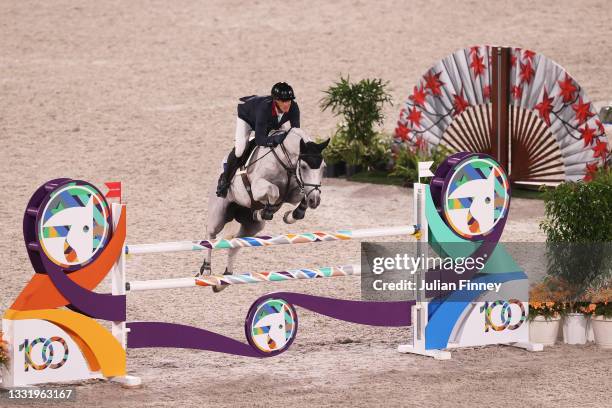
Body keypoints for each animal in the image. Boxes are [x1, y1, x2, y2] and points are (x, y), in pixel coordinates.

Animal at [201, 128, 328, 290]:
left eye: (324, 168)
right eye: (304, 167)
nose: (315, 201)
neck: (285, 161)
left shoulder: (295, 192)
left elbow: (300, 197)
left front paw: (291, 215)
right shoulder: (258, 187)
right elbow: (274, 192)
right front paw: (264, 212)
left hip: (251, 228)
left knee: (235, 244)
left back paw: (226, 278)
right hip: (218, 215)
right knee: (210, 236)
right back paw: (206, 270)